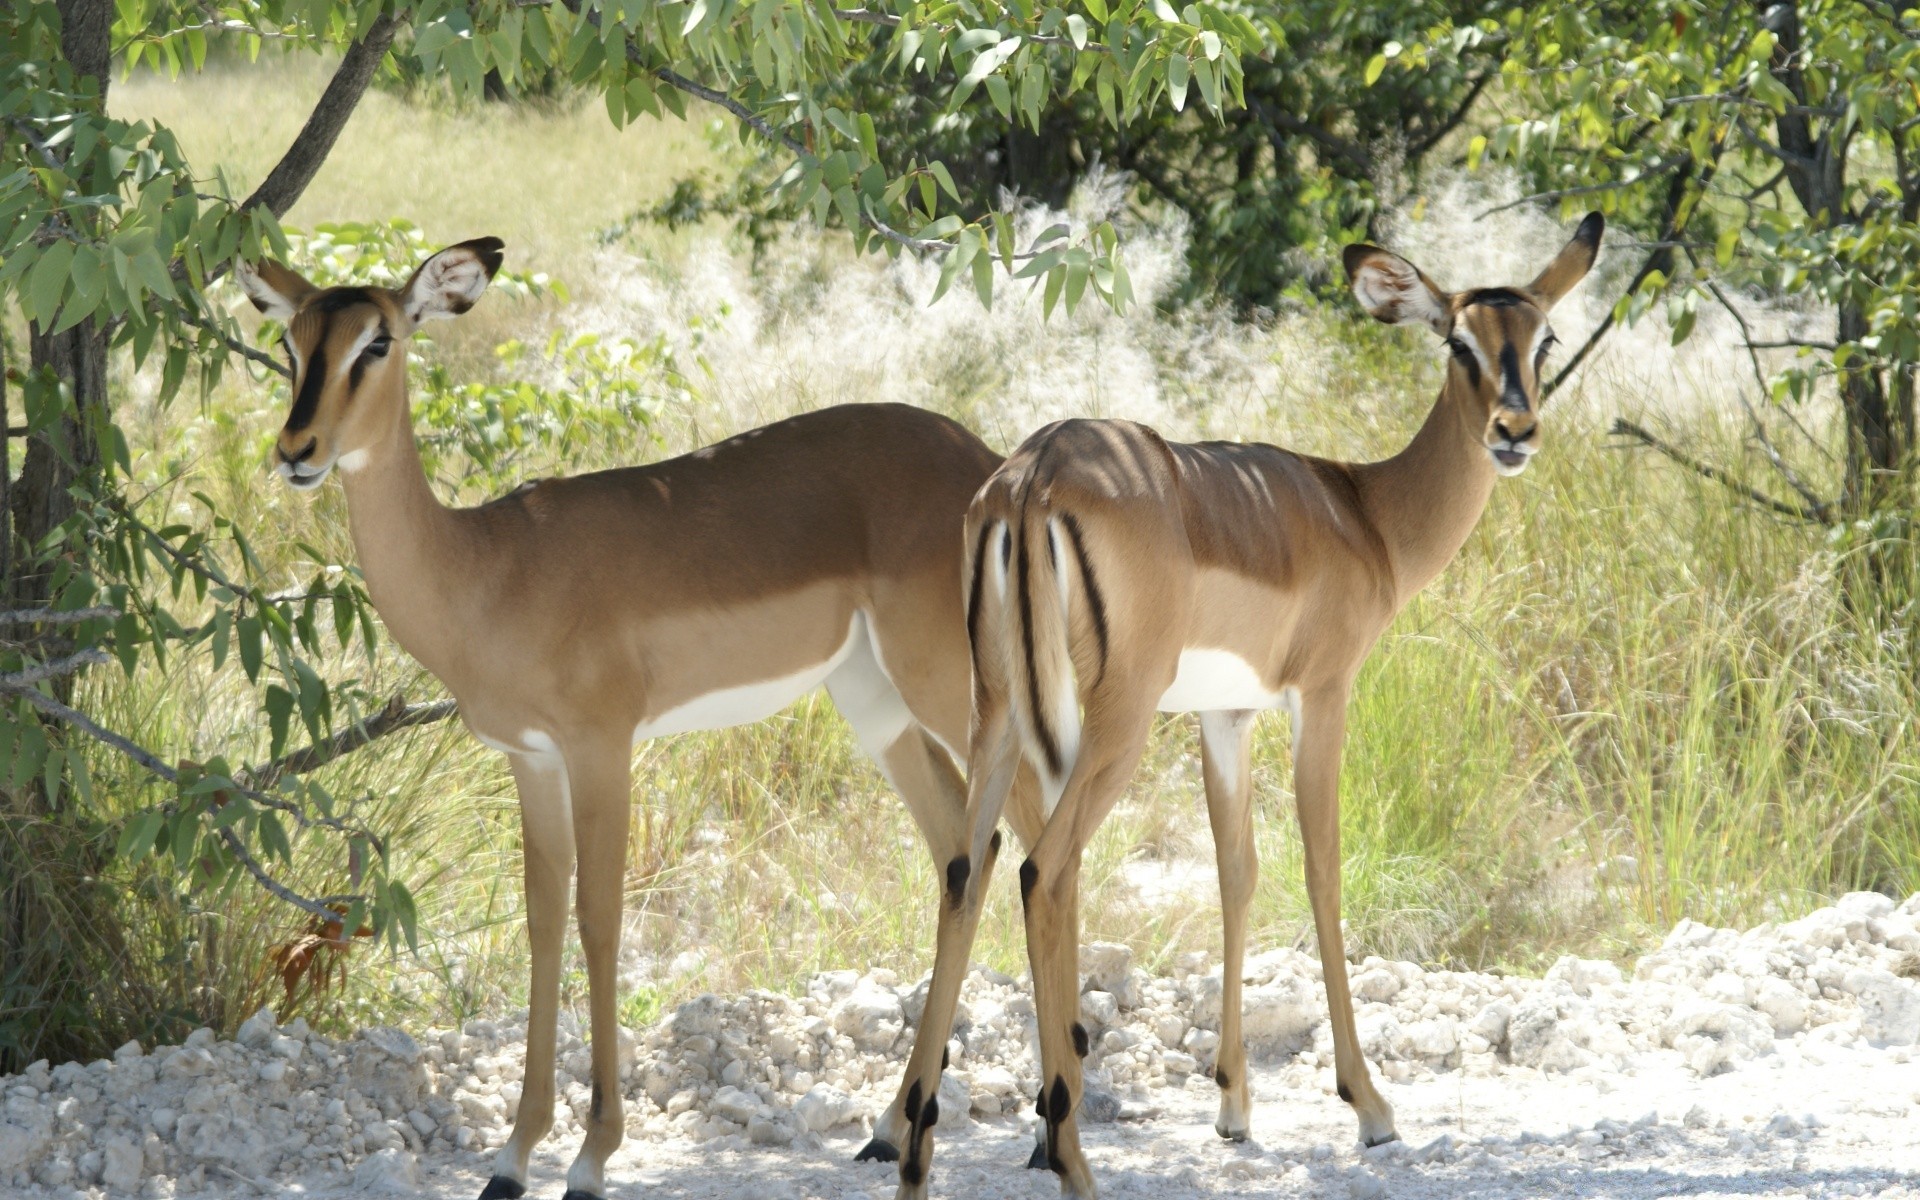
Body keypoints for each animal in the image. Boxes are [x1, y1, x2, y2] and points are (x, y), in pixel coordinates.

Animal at [241, 236, 1036, 1198]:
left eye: (379, 341)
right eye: (292, 343)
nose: (297, 449)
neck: (490, 569)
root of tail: (986, 466)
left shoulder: (601, 749)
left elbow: (601, 919)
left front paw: (591, 1155)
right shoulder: (531, 759)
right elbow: (544, 918)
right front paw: (512, 1157)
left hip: (958, 689)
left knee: (1042, 834)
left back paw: (1042, 1138)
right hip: (875, 702)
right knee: (964, 846)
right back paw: (890, 1128)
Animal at [883, 210, 1605, 1190]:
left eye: (1543, 339)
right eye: (1458, 341)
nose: (1515, 429)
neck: (1364, 513)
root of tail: (1031, 476)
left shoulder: (1224, 715)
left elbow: (1236, 873)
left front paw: (1232, 1105)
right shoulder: (1322, 694)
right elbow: (1322, 870)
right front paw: (1370, 1108)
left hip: (993, 714)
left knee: (968, 869)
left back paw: (916, 1155)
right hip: (1112, 726)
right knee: (1046, 871)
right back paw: (1068, 1158)